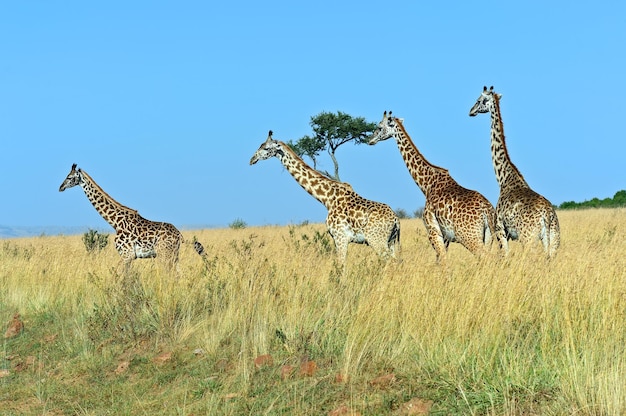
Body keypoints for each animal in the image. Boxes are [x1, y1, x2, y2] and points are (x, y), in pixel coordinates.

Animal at [58, 164, 206, 268]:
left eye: (69, 177)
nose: (61, 187)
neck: (115, 222)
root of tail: (180, 235)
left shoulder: (126, 256)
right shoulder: (128, 257)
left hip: (165, 254)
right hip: (173, 255)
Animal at [247, 130, 398, 264]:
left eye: (266, 148)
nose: (252, 159)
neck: (327, 199)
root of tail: (396, 220)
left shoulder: (340, 237)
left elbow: (341, 266)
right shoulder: (338, 238)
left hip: (376, 240)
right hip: (392, 241)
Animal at [368, 110, 494, 264]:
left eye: (379, 127)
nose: (370, 139)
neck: (427, 185)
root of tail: (487, 211)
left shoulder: (433, 231)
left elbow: (442, 261)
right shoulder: (445, 236)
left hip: (469, 237)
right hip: (488, 237)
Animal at [466, 86, 560, 258]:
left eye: (480, 100)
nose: (471, 111)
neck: (504, 178)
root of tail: (547, 216)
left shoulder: (500, 229)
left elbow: (505, 255)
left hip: (529, 238)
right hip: (554, 240)